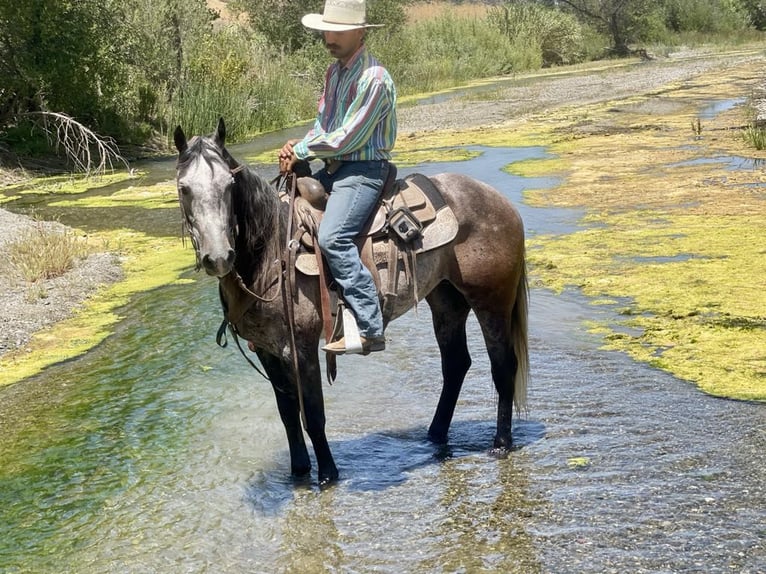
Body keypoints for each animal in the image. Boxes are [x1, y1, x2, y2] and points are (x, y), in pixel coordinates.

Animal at [174, 118, 529, 486]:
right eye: (184, 188)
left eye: (229, 185)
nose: (218, 257)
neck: (272, 252)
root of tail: (499, 201)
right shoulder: (268, 350)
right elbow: (287, 415)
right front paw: (298, 472)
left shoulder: (301, 346)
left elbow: (313, 414)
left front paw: (328, 475)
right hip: (445, 300)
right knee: (456, 364)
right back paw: (435, 435)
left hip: (492, 300)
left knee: (503, 365)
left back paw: (501, 443)